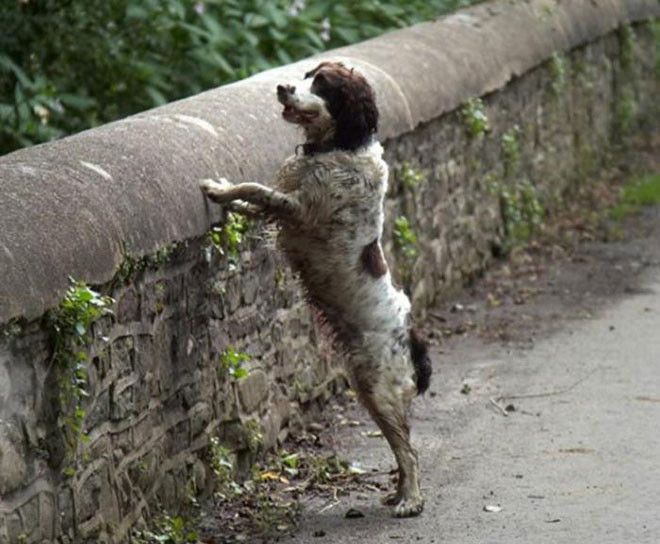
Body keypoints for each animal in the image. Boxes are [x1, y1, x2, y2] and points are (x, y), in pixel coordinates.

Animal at [199, 61, 430, 516]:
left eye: (323, 83)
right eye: (307, 74)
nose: (281, 86)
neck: (339, 145)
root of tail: (411, 340)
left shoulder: (300, 209)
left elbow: (257, 189)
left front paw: (220, 189)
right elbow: (255, 201)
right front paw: (228, 198)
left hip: (382, 390)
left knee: (410, 452)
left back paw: (410, 500)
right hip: (367, 388)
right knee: (400, 447)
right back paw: (397, 492)